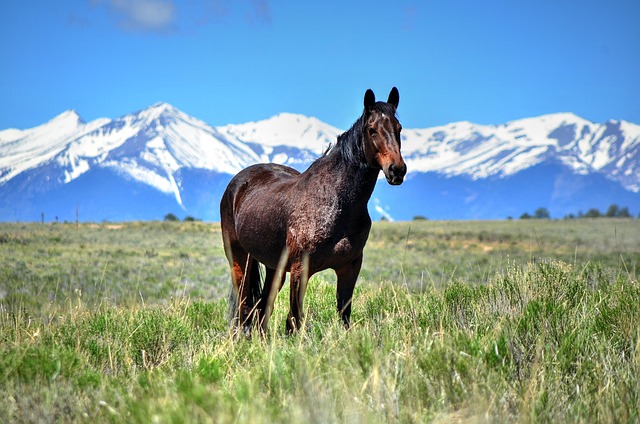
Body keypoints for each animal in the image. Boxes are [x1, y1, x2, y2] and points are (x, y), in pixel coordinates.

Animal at [220, 87, 408, 334]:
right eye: (372, 130)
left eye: (399, 128)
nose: (397, 170)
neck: (337, 203)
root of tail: (236, 184)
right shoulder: (301, 269)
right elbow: (294, 320)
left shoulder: (350, 267)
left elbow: (343, 314)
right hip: (239, 258)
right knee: (243, 306)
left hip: (273, 267)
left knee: (262, 308)